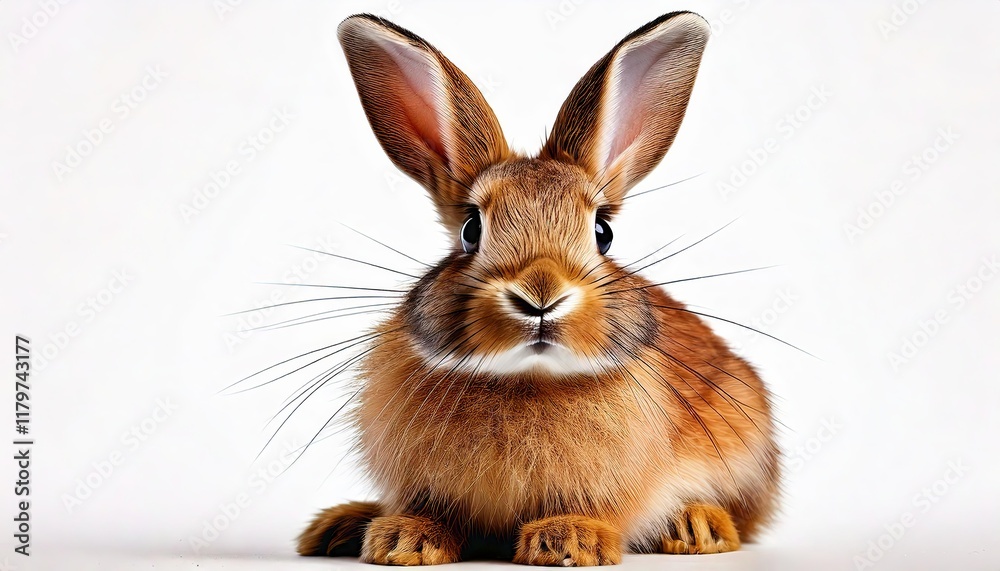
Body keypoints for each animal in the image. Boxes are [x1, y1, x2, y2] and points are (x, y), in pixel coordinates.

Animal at [297, 10, 780, 566]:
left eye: (603, 232)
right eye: (471, 229)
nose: (540, 295)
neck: (529, 377)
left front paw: (568, 540)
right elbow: (431, 510)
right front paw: (403, 540)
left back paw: (697, 527)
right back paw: (341, 525)